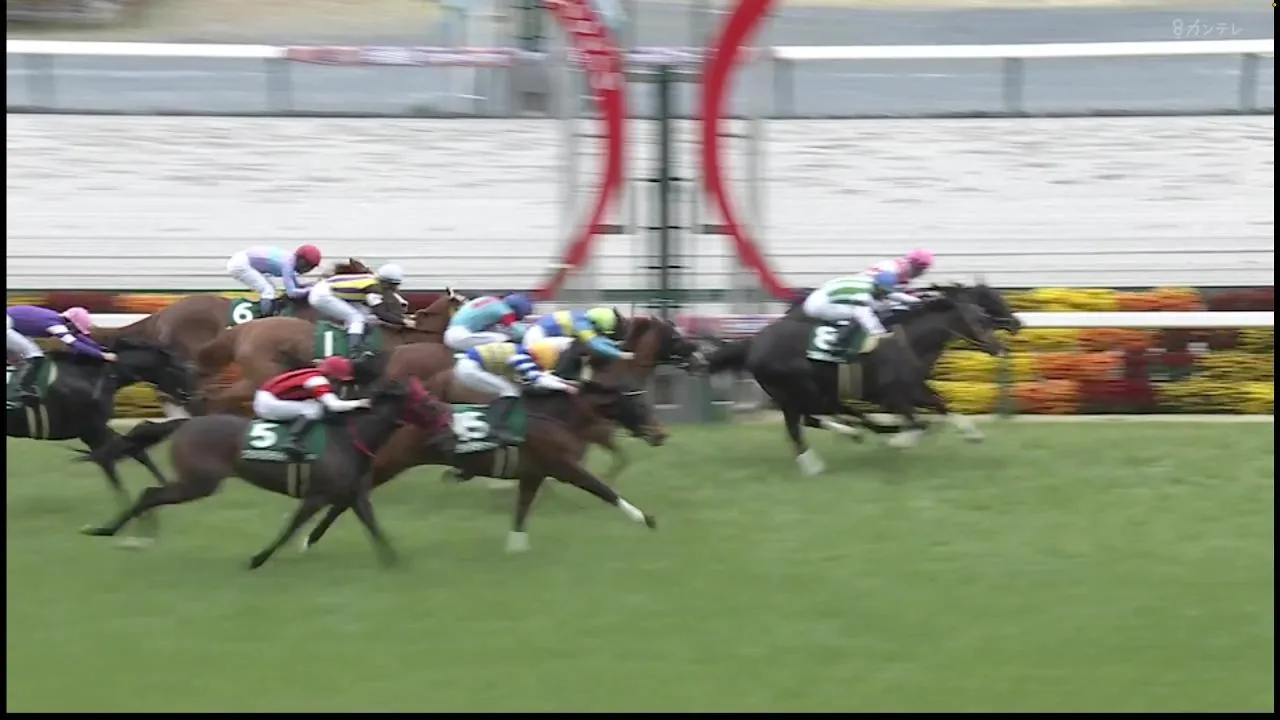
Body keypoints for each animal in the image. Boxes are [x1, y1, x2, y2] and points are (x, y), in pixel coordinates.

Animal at [7, 337, 195, 521]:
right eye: (178, 370)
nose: (188, 397)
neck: (90, 377)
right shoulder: (92, 431)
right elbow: (108, 460)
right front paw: (135, 512)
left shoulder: (95, 428)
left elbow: (136, 450)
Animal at [78, 377, 454, 569]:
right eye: (428, 403)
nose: (449, 424)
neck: (348, 437)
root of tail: (186, 422)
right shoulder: (317, 495)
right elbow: (291, 528)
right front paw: (258, 558)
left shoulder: (354, 494)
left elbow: (374, 527)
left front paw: (394, 561)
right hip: (199, 482)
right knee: (151, 494)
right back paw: (111, 530)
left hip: (196, 482)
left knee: (151, 495)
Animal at [299, 353, 663, 554]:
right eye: (641, 405)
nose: (660, 433)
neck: (558, 414)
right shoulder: (563, 466)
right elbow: (604, 490)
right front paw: (646, 519)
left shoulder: (534, 472)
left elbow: (521, 511)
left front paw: (515, 547)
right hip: (388, 463)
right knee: (346, 498)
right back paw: (308, 539)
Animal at [705, 285, 1006, 475]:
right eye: (980, 319)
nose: (1000, 347)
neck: (907, 342)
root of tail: (753, 343)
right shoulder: (890, 396)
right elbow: (917, 423)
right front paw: (899, 442)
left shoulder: (913, 389)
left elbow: (943, 405)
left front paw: (973, 433)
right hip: (797, 388)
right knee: (800, 423)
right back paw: (816, 465)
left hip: (811, 391)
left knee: (812, 418)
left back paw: (856, 433)